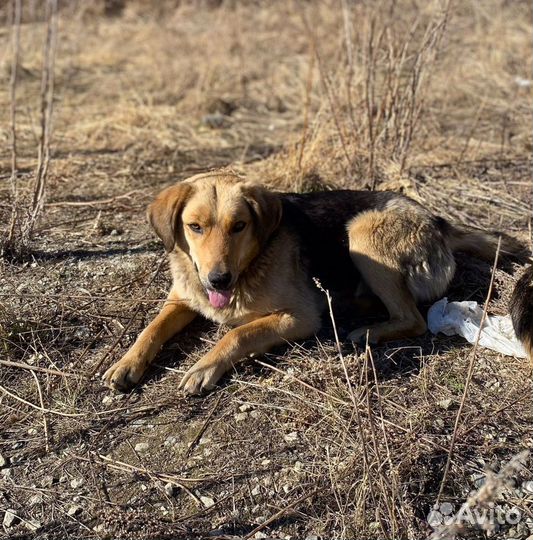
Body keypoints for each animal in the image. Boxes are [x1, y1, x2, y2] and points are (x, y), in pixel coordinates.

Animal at [102, 171, 528, 394]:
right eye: (195, 227)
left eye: (239, 226)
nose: (219, 280)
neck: (250, 265)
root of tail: (437, 220)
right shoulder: (182, 300)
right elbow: (151, 329)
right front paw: (126, 362)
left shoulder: (299, 318)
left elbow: (237, 334)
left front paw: (204, 366)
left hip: (361, 234)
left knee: (413, 318)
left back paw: (367, 331)